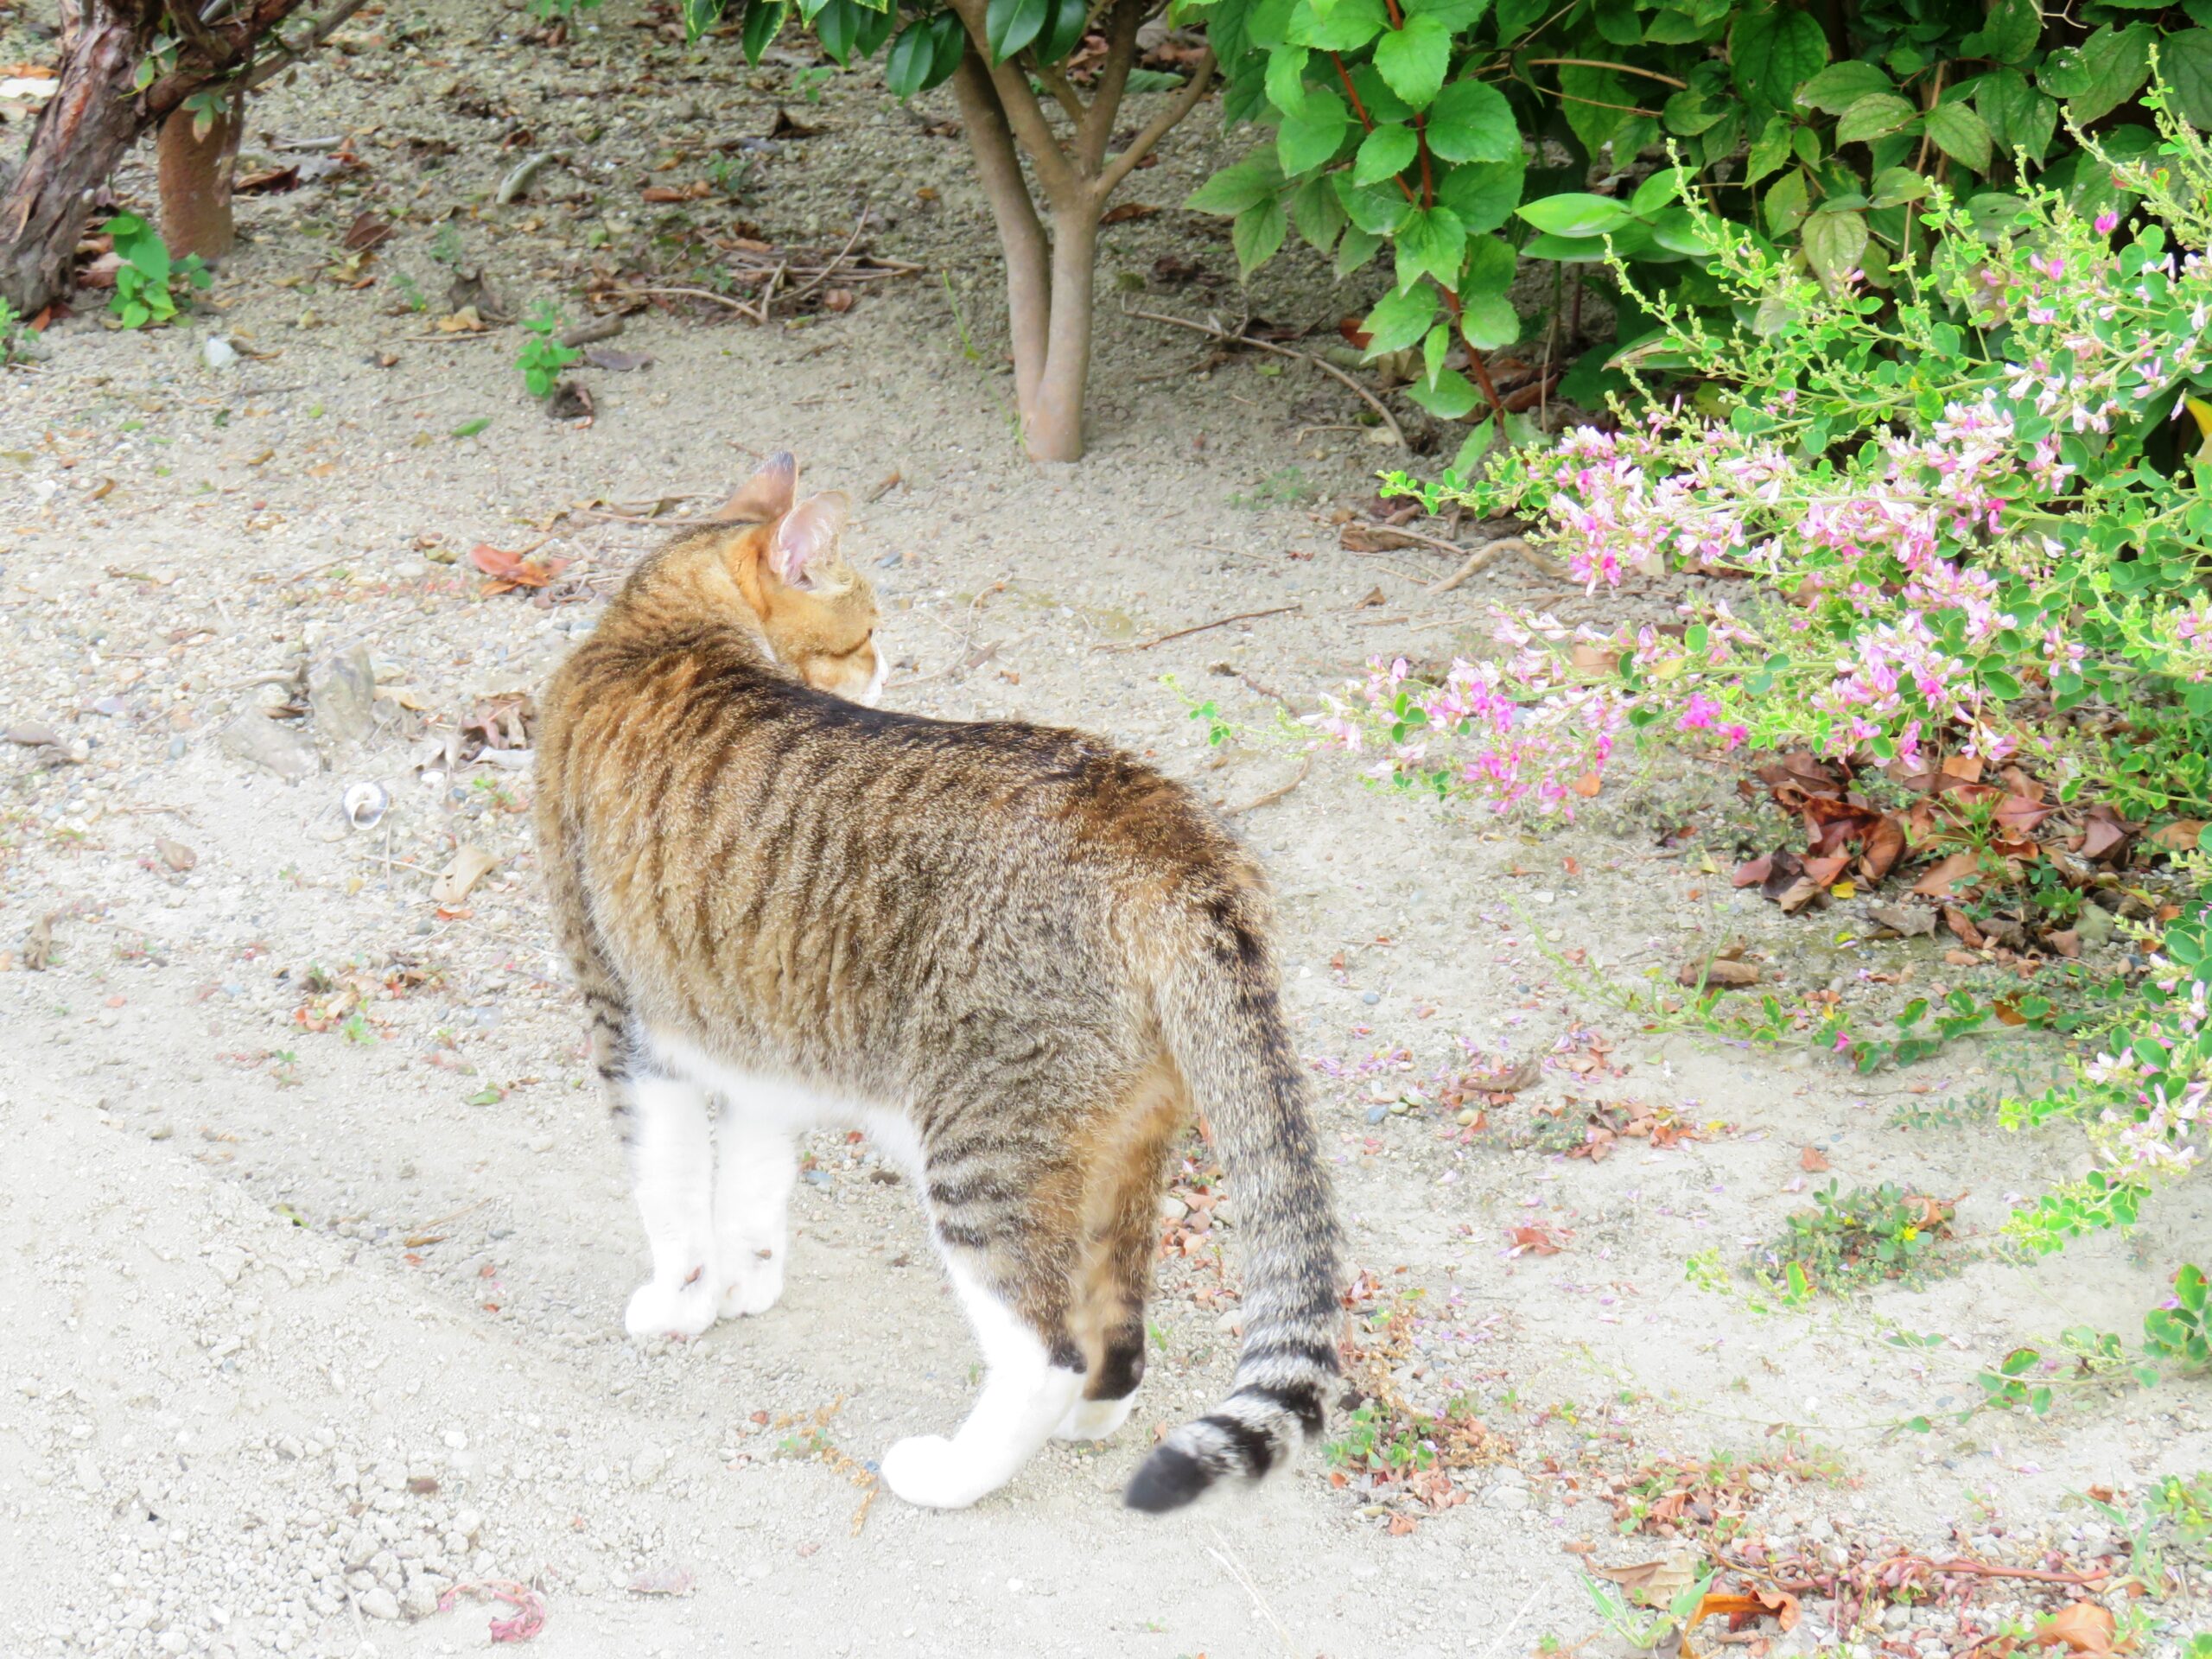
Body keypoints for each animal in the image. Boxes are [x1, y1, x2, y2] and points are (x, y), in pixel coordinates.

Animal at [535, 451, 1344, 1503]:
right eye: (866, 633)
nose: (887, 667)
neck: (657, 630)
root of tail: (1169, 836)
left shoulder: (624, 1026)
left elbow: (669, 1194)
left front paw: (682, 1303)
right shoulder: (753, 1036)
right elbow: (748, 1185)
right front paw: (746, 1281)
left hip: (979, 1151)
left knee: (1046, 1350)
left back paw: (951, 1472)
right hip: (1122, 1146)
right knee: (1118, 1329)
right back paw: (1091, 1419)